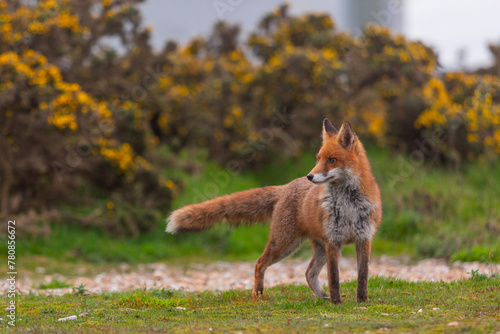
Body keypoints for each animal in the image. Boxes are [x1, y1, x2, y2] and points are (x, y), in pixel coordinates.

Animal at [168, 119, 382, 302]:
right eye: (318, 158)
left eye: (332, 160)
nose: (310, 176)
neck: (349, 206)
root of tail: (286, 186)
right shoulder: (333, 242)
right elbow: (334, 279)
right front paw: (337, 303)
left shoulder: (363, 239)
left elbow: (362, 276)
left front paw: (362, 302)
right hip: (284, 244)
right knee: (259, 263)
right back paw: (258, 294)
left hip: (315, 248)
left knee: (309, 273)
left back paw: (322, 297)